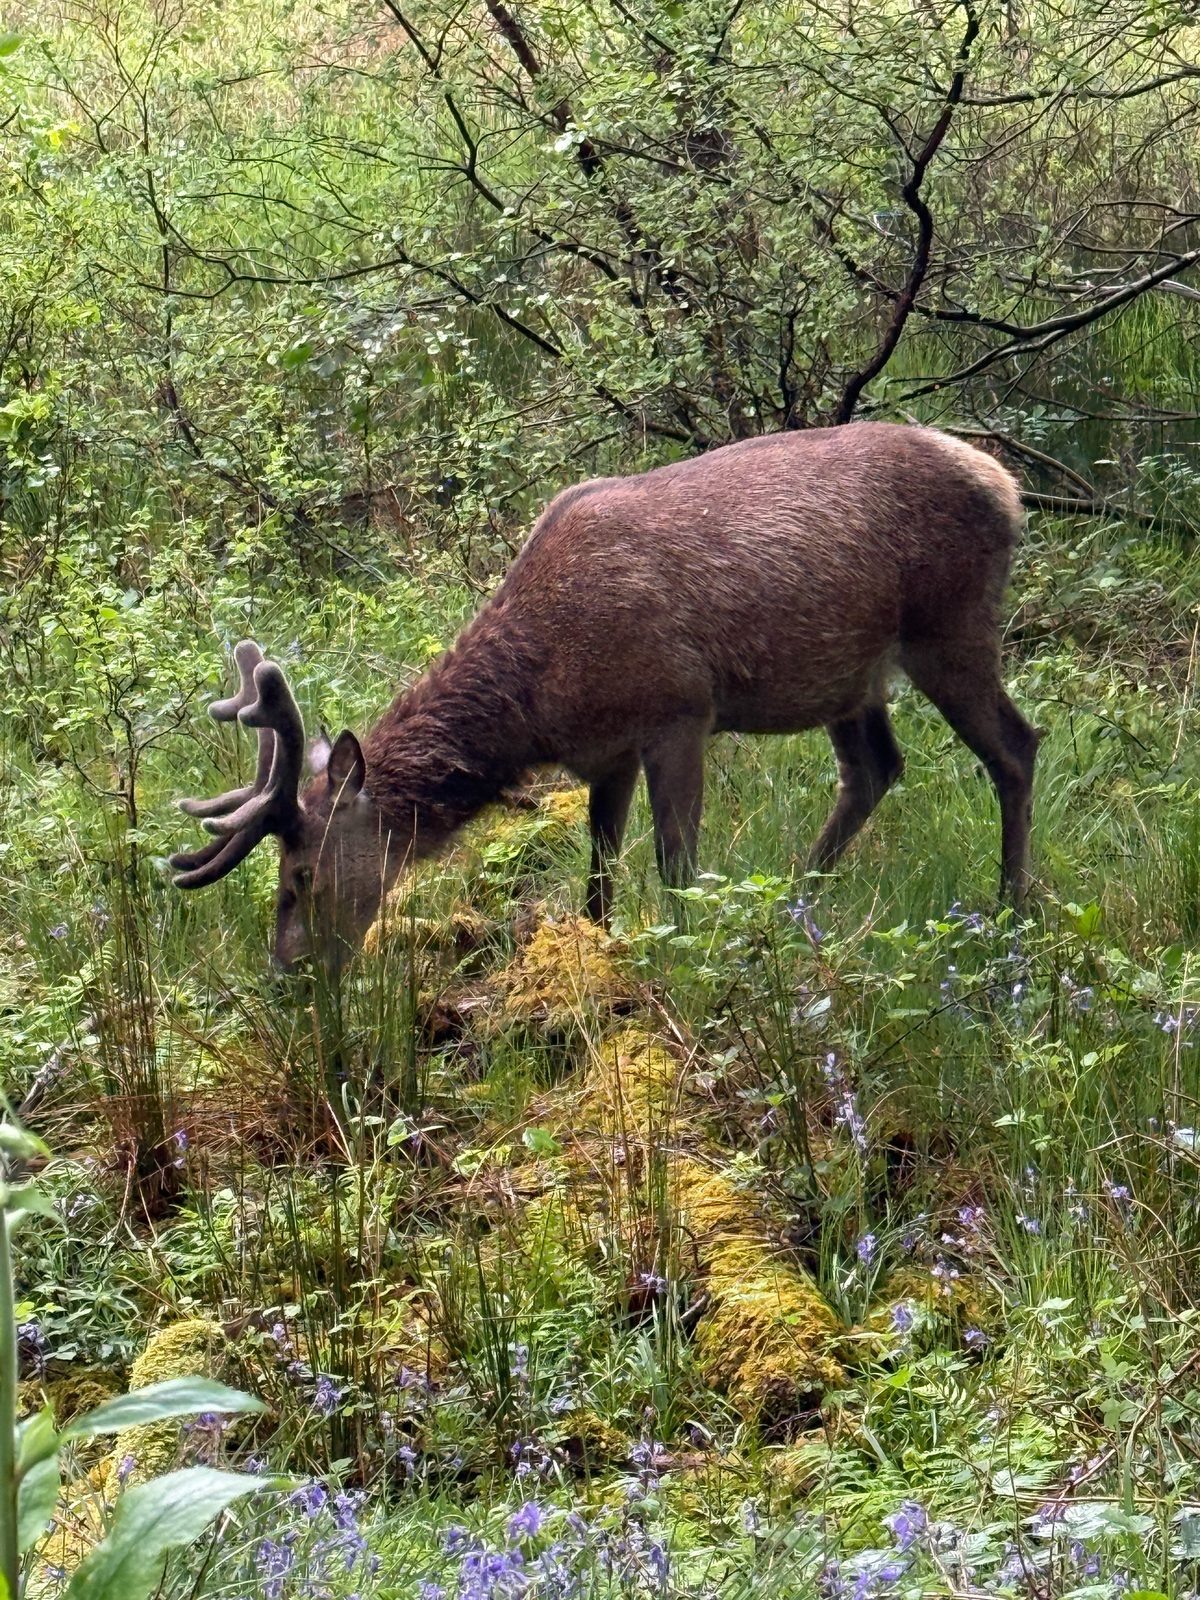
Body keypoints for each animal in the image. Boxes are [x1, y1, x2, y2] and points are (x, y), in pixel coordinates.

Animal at [171, 422, 1038, 968]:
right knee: (874, 769)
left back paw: (1010, 912)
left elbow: (676, 865)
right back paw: (792, 902)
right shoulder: (606, 753)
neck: (541, 699)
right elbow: (597, 879)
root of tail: (1009, 486)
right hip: (851, 676)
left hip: (951, 627)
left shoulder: (678, 710)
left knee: (1016, 748)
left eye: (300, 875)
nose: (287, 972)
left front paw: (682, 958)